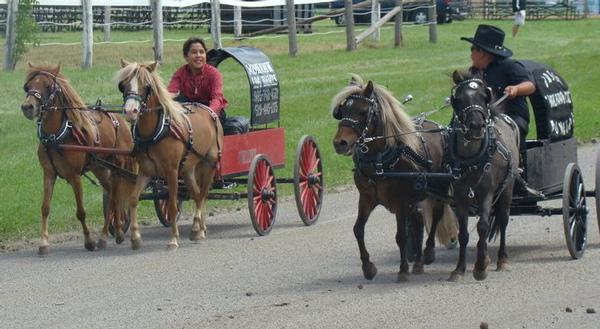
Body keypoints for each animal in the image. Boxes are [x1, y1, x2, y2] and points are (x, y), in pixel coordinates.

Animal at [20, 63, 135, 254]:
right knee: (112, 195)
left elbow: (81, 212)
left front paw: (89, 241)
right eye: (27, 86)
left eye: (48, 86)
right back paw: (115, 232)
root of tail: (121, 120)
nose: (27, 107)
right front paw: (43, 243)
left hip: (118, 165)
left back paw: (108, 235)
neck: (55, 136)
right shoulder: (48, 174)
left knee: (115, 196)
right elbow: (45, 208)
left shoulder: (74, 176)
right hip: (100, 168)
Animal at [115, 59, 223, 249]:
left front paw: (173, 239)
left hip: (209, 164)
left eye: (147, 86)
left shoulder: (171, 172)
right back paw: (199, 229)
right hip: (187, 169)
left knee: (202, 195)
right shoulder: (146, 171)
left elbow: (172, 205)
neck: (154, 132)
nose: (130, 111)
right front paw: (135, 238)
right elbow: (133, 199)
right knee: (197, 195)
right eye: (123, 85)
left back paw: (197, 226)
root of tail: (209, 111)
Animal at [330, 75, 458, 280]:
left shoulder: (401, 202)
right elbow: (358, 230)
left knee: (436, 215)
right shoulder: (366, 198)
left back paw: (428, 253)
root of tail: (440, 128)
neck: (379, 162)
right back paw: (419, 262)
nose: (339, 143)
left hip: (439, 188)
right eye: (342, 111)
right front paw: (368, 267)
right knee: (418, 220)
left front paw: (403, 270)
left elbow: (401, 236)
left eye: (363, 111)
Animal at [448, 70, 524, 280]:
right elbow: (463, 233)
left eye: (484, 96)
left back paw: (502, 260)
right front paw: (459, 268)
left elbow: (482, 226)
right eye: (458, 99)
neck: (471, 158)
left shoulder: (487, 193)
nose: (476, 125)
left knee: (503, 220)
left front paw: (480, 266)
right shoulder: (460, 197)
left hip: (507, 188)